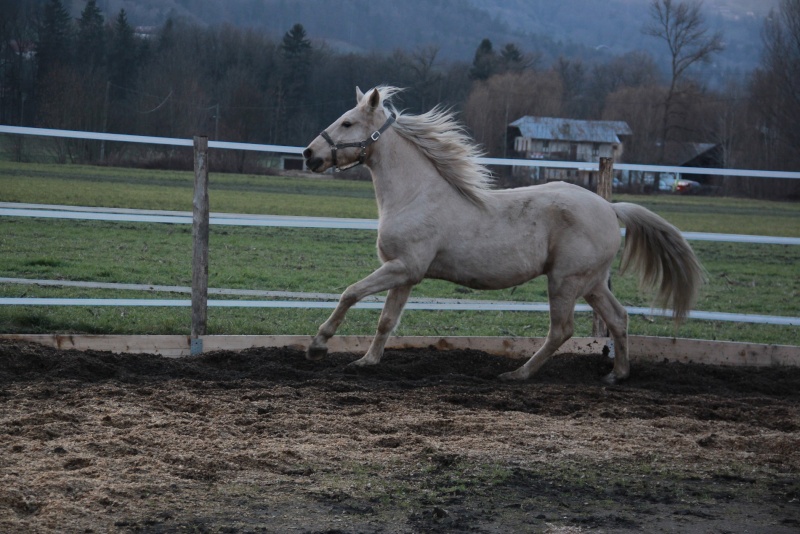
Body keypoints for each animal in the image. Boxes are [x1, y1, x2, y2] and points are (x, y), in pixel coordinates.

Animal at [304, 86, 704, 384]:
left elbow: (350, 293)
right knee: (618, 319)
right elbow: (386, 321)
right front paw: (366, 362)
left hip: (565, 281)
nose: (309, 154)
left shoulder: (403, 267)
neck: (415, 194)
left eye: (347, 122)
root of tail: (610, 207)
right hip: (591, 282)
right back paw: (616, 374)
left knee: (562, 330)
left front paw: (318, 344)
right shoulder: (406, 274)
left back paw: (517, 374)